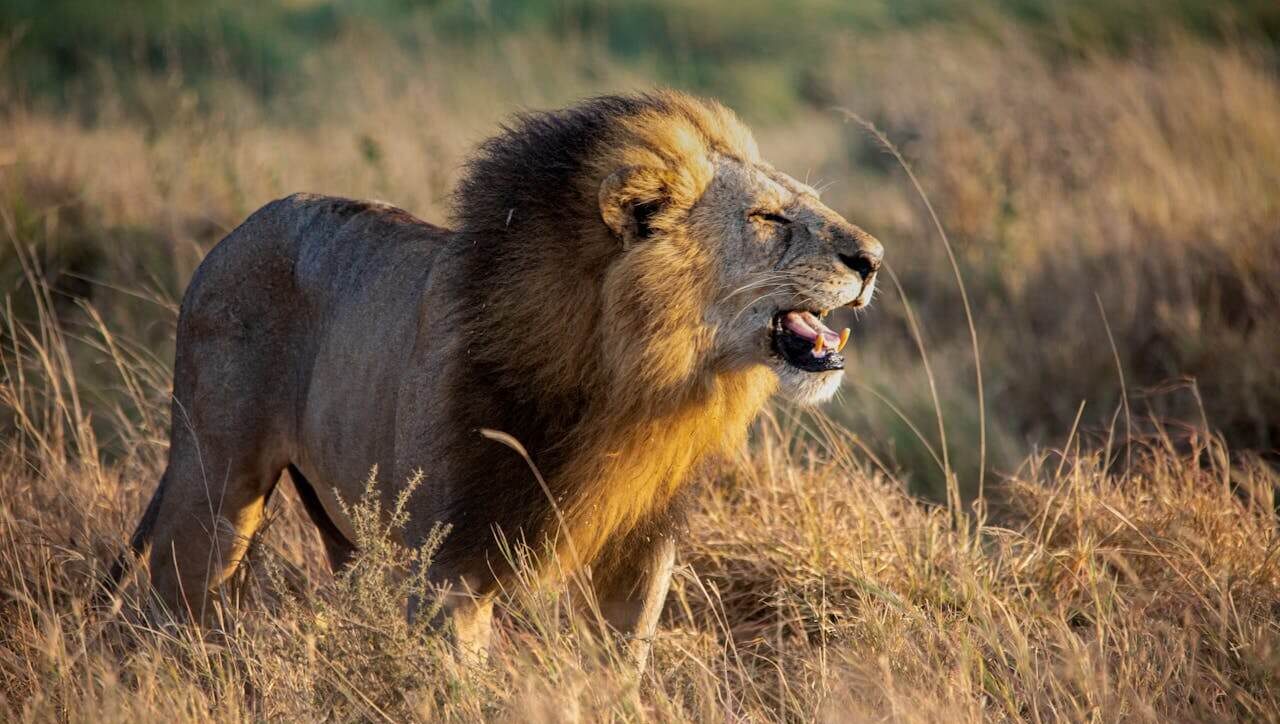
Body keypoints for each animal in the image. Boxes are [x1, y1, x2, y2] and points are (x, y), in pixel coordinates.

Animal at [123, 91, 883, 666]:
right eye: (768, 218)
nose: (873, 258)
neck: (632, 379)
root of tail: (232, 236)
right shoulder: (449, 564)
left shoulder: (640, 550)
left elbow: (618, 669)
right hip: (216, 489)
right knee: (178, 601)